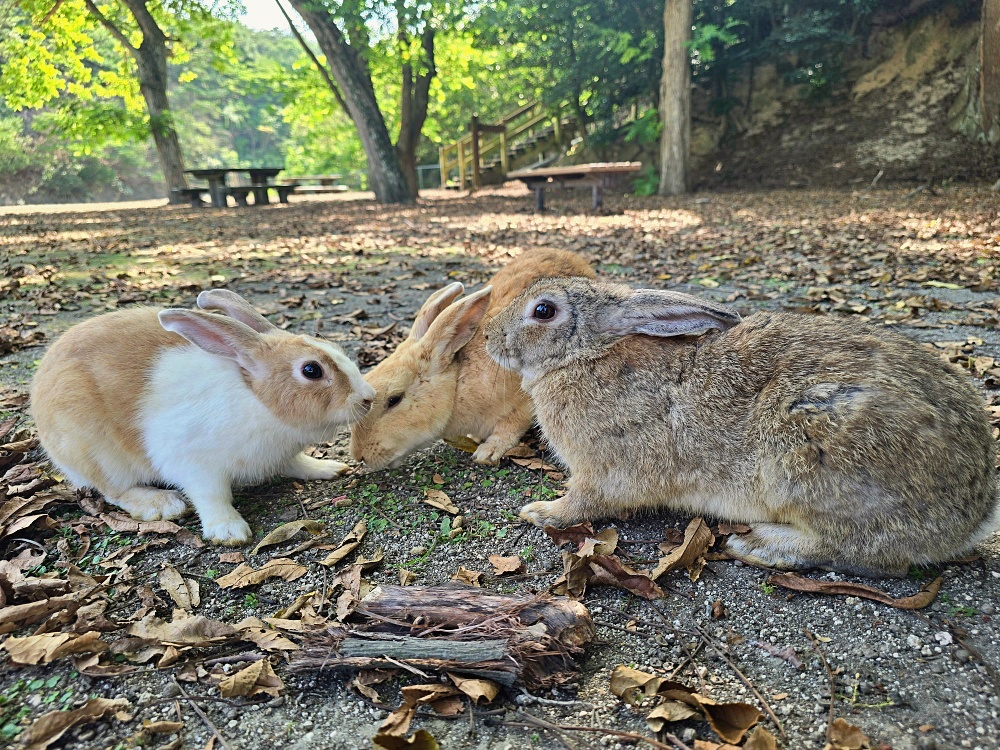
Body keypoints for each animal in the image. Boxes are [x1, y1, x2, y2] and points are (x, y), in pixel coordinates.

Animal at [32, 290, 376, 548]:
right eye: (311, 370)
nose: (368, 398)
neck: (258, 400)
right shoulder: (193, 463)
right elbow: (212, 496)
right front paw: (229, 530)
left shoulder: (283, 456)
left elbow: (298, 463)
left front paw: (327, 468)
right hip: (99, 454)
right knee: (113, 491)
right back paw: (162, 503)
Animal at [350, 251, 592, 470]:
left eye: (394, 399)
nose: (359, 455)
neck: (457, 386)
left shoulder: (523, 403)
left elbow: (510, 427)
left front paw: (487, 452)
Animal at [480, 280, 996, 580]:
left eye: (543, 311)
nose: (487, 337)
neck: (586, 355)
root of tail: (974, 513)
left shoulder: (605, 471)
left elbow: (585, 502)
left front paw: (541, 512)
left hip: (806, 460)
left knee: (869, 557)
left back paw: (758, 544)